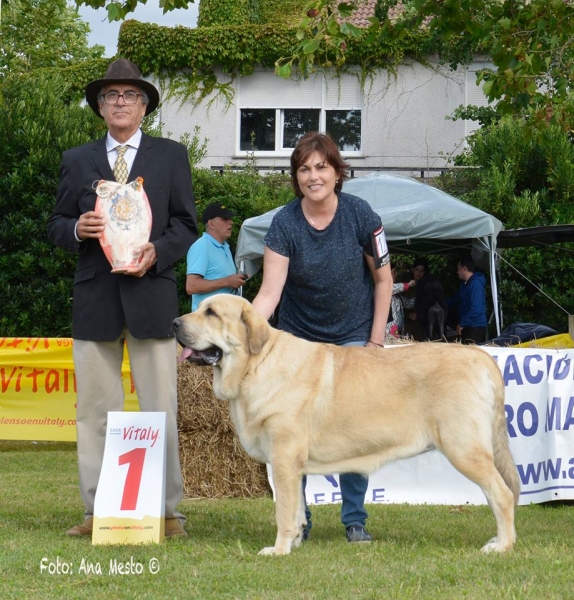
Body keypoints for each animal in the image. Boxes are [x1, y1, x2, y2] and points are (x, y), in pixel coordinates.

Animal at [176, 292, 520, 556]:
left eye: (211, 313)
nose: (174, 323)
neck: (256, 365)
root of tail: (481, 356)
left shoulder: (284, 459)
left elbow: (283, 512)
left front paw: (279, 550)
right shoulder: (293, 467)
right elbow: (298, 510)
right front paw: (297, 541)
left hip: (464, 449)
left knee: (502, 495)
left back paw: (501, 545)